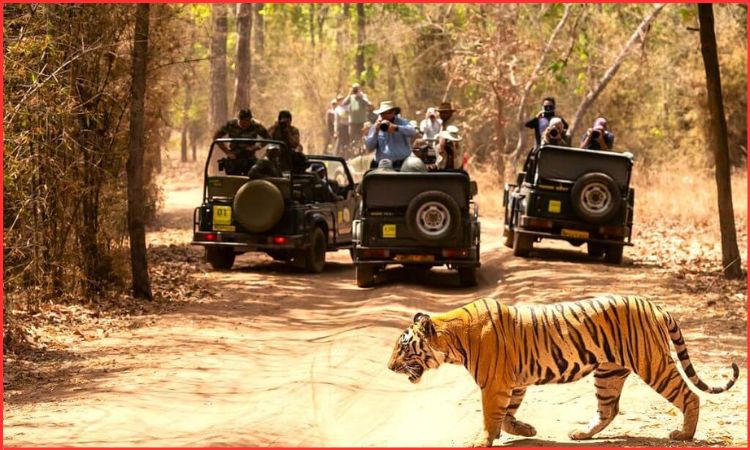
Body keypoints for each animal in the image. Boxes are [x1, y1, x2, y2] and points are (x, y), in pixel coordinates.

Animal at [387, 295, 739, 446]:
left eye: (403, 347)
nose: (389, 366)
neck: (454, 338)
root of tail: (656, 306)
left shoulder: (495, 383)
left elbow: (490, 415)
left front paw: (483, 440)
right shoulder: (513, 382)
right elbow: (508, 414)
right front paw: (525, 430)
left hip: (653, 363)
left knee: (689, 395)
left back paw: (684, 435)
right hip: (609, 373)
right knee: (608, 409)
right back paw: (580, 434)